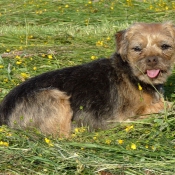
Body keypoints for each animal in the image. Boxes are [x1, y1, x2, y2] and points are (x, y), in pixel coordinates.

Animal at [0, 21, 175, 137]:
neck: (131, 74)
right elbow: (162, 106)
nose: (151, 60)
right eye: (137, 48)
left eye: (165, 46)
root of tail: (4, 108)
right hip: (54, 97)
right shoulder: (128, 115)